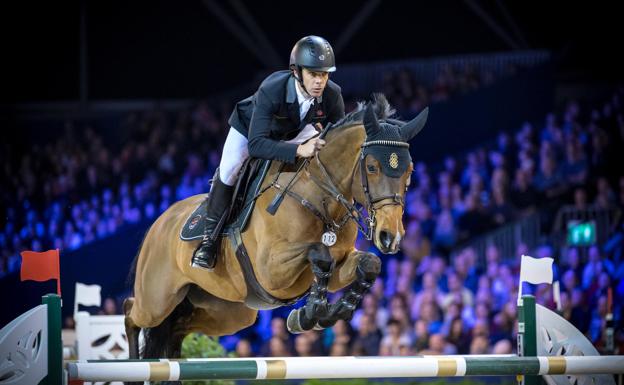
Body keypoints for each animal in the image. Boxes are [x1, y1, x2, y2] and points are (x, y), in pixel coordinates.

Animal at [124, 95, 428, 356]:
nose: (390, 237)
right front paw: (311, 314)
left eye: (409, 171)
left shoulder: (343, 262)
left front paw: (321, 313)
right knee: (132, 313)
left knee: (177, 328)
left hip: (228, 311)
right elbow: (320, 254)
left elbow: (368, 264)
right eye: (373, 167)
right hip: (156, 300)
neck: (320, 197)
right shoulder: (271, 270)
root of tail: (161, 221)